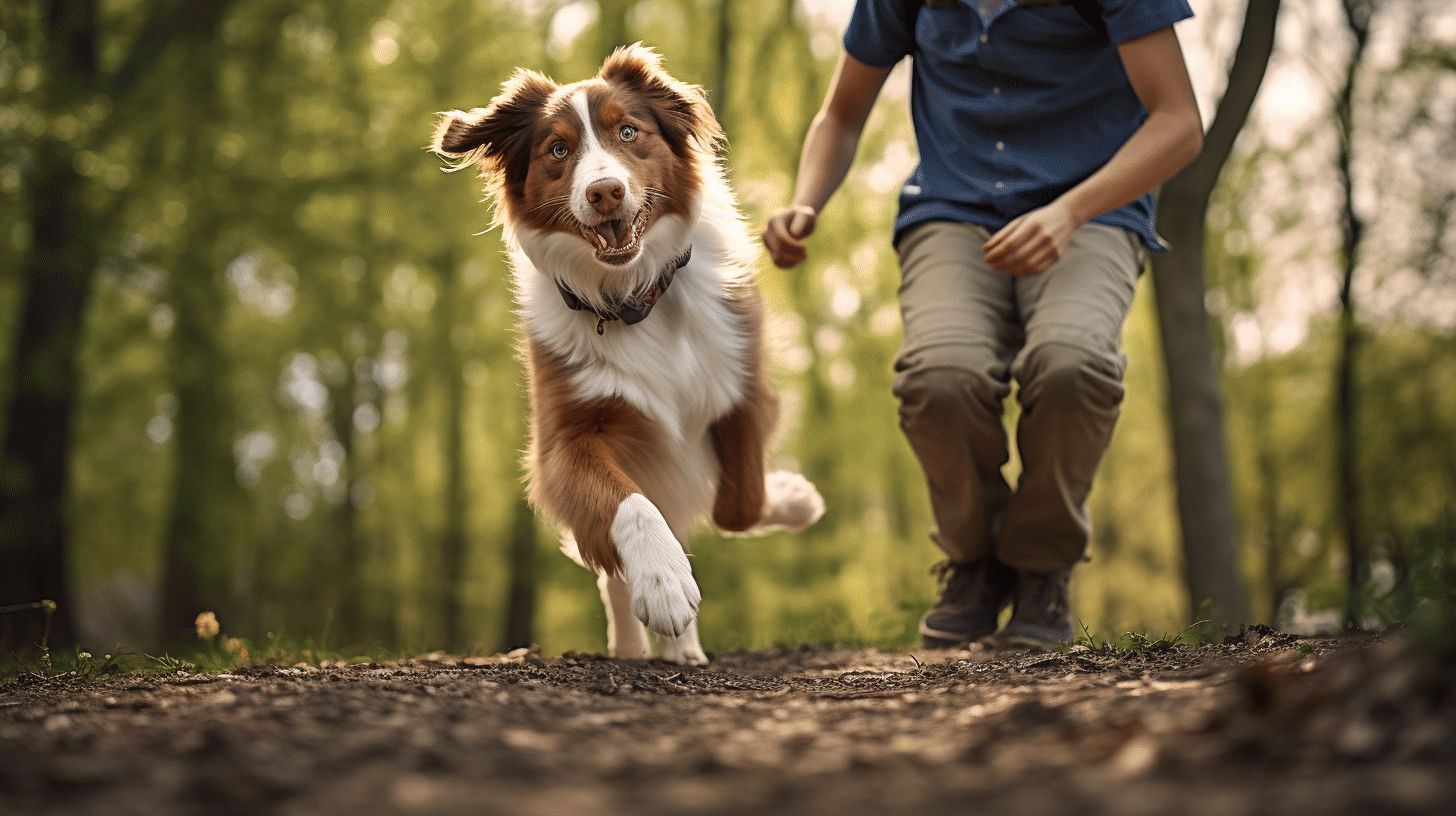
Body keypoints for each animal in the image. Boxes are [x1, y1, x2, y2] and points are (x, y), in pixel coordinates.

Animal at [428, 46, 821, 664]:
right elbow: (630, 506)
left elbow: (739, 502)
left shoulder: (740, 388)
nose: (606, 192)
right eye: (558, 149)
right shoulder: (566, 437)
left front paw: (795, 499)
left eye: (629, 132)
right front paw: (663, 583)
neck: (635, 298)